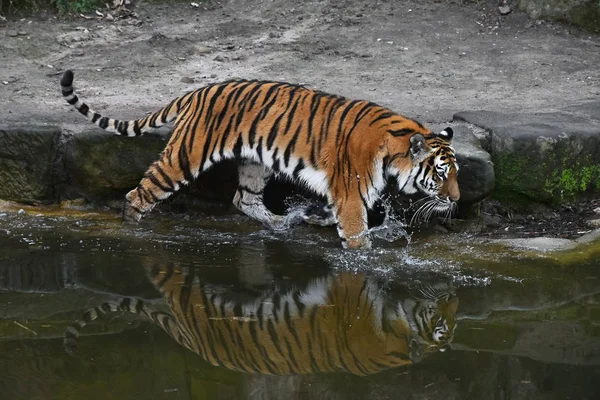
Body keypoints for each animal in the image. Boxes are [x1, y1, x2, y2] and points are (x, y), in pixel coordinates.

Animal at [59, 70, 460, 248]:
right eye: (441, 174)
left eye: (456, 173)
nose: (456, 199)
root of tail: (197, 91)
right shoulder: (350, 196)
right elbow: (357, 233)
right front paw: (361, 258)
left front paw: (314, 217)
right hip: (184, 157)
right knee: (138, 194)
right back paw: (131, 230)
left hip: (257, 163)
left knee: (243, 199)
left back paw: (281, 223)